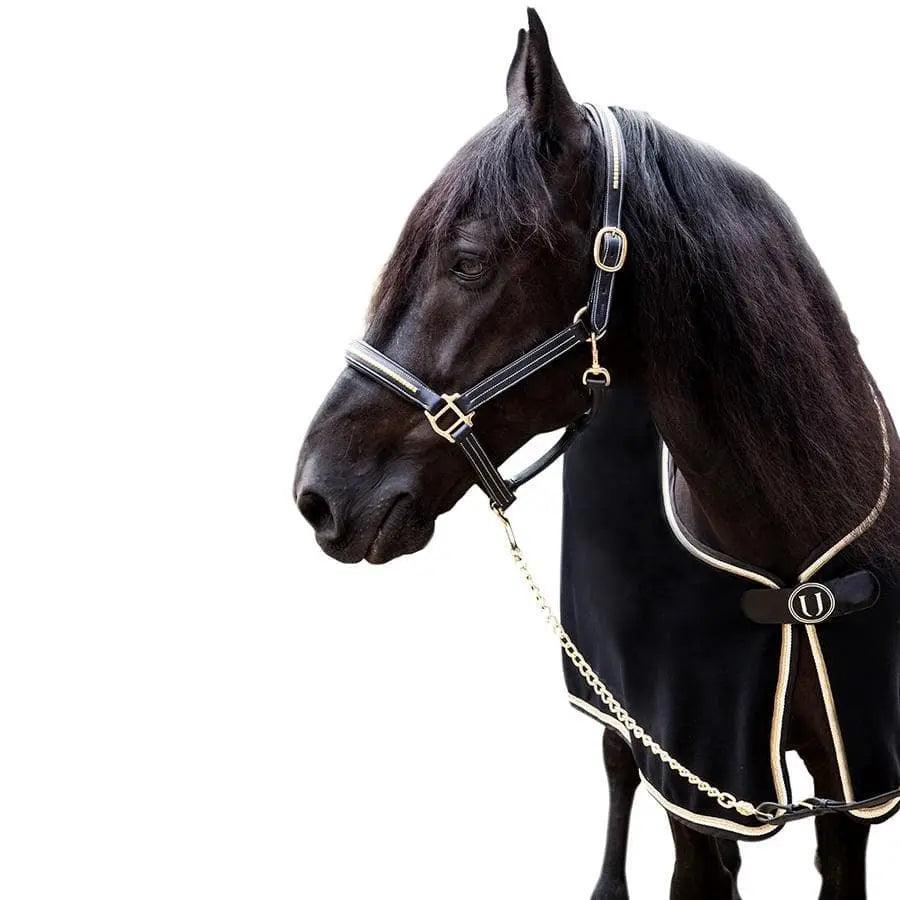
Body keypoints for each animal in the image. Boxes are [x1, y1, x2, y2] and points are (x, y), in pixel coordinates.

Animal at [294, 10, 900, 898]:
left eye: (467, 261)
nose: (319, 493)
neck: (794, 577)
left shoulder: (853, 784)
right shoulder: (690, 767)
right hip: (606, 679)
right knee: (617, 766)